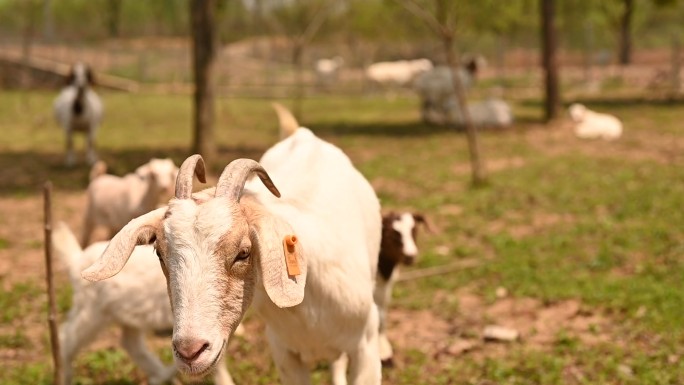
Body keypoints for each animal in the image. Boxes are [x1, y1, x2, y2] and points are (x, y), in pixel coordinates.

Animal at [81, 106, 384, 384]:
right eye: (160, 254)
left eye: (243, 253)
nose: (190, 351)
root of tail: (302, 135)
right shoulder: (285, 355)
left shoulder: (367, 347)